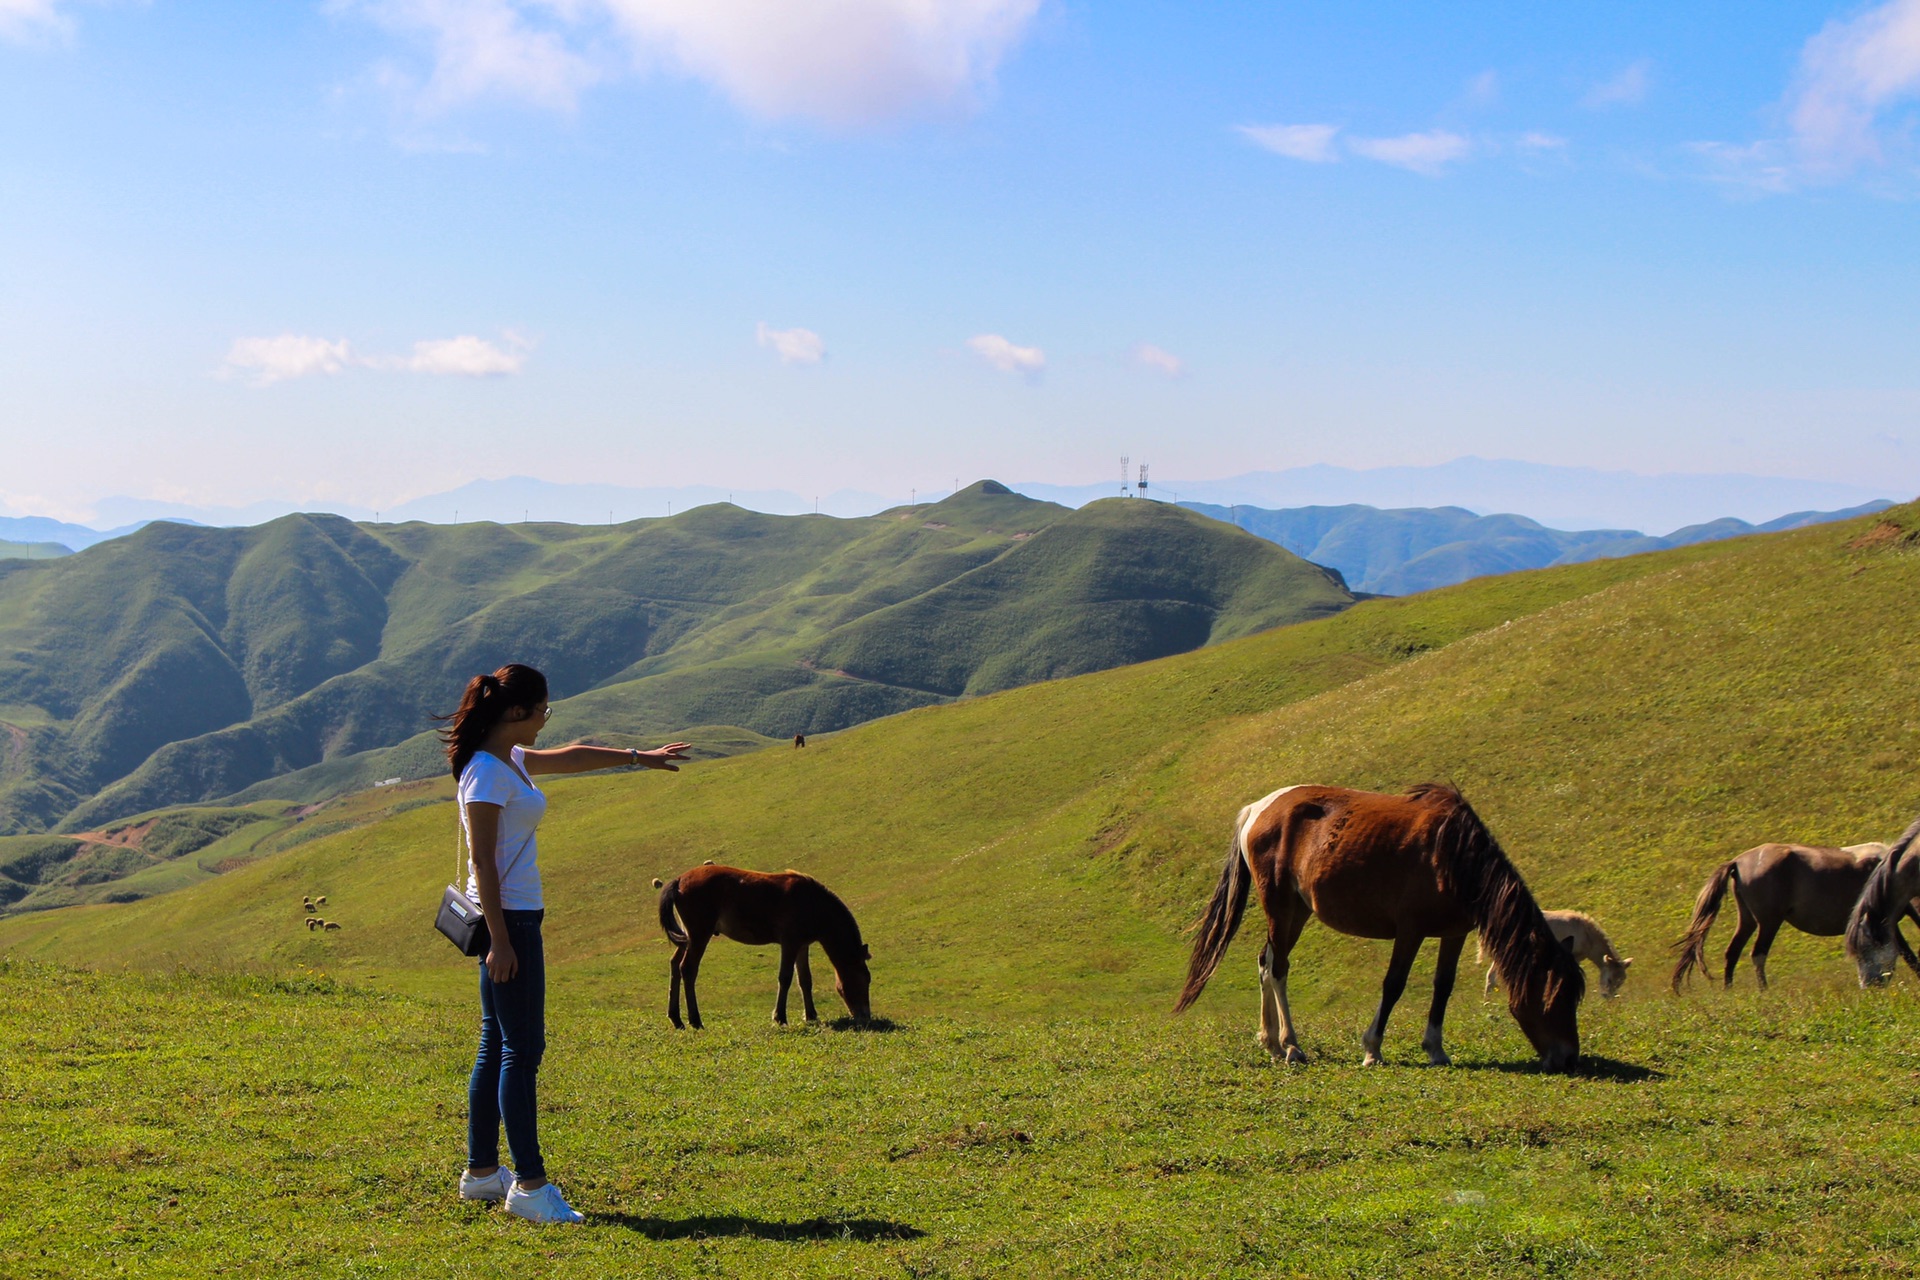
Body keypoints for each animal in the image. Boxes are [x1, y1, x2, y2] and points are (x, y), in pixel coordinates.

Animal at [656, 859, 875, 1028]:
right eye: (865, 979)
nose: (866, 1016)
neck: (813, 904)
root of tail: (680, 880)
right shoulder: (789, 943)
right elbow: (785, 978)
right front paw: (780, 1017)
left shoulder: (802, 945)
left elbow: (805, 980)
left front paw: (811, 1015)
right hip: (699, 935)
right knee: (688, 969)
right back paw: (695, 1020)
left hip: (687, 937)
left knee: (675, 965)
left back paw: (676, 1019)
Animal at [1175, 782, 1582, 1074]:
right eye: (1554, 999)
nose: (1568, 1059)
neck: (1452, 855)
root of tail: (1258, 809)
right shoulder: (1410, 930)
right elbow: (1394, 985)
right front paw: (1373, 1049)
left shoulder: (1454, 933)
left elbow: (1443, 987)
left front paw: (1436, 1048)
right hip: (1280, 905)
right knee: (1278, 969)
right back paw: (1291, 1045)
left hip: (1298, 911)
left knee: (1266, 962)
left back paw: (1272, 1042)